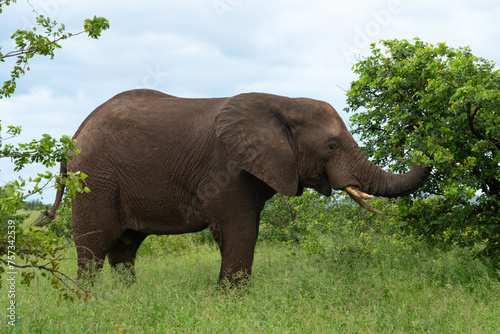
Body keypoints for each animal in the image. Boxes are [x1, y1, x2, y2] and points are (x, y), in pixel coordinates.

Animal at [42, 90, 430, 286]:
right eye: (332, 146)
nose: (420, 125)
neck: (283, 101)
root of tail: (74, 134)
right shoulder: (225, 168)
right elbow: (240, 229)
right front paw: (232, 299)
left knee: (125, 246)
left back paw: (127, 296)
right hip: (95, 178)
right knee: (94, 244)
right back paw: (90, 300)